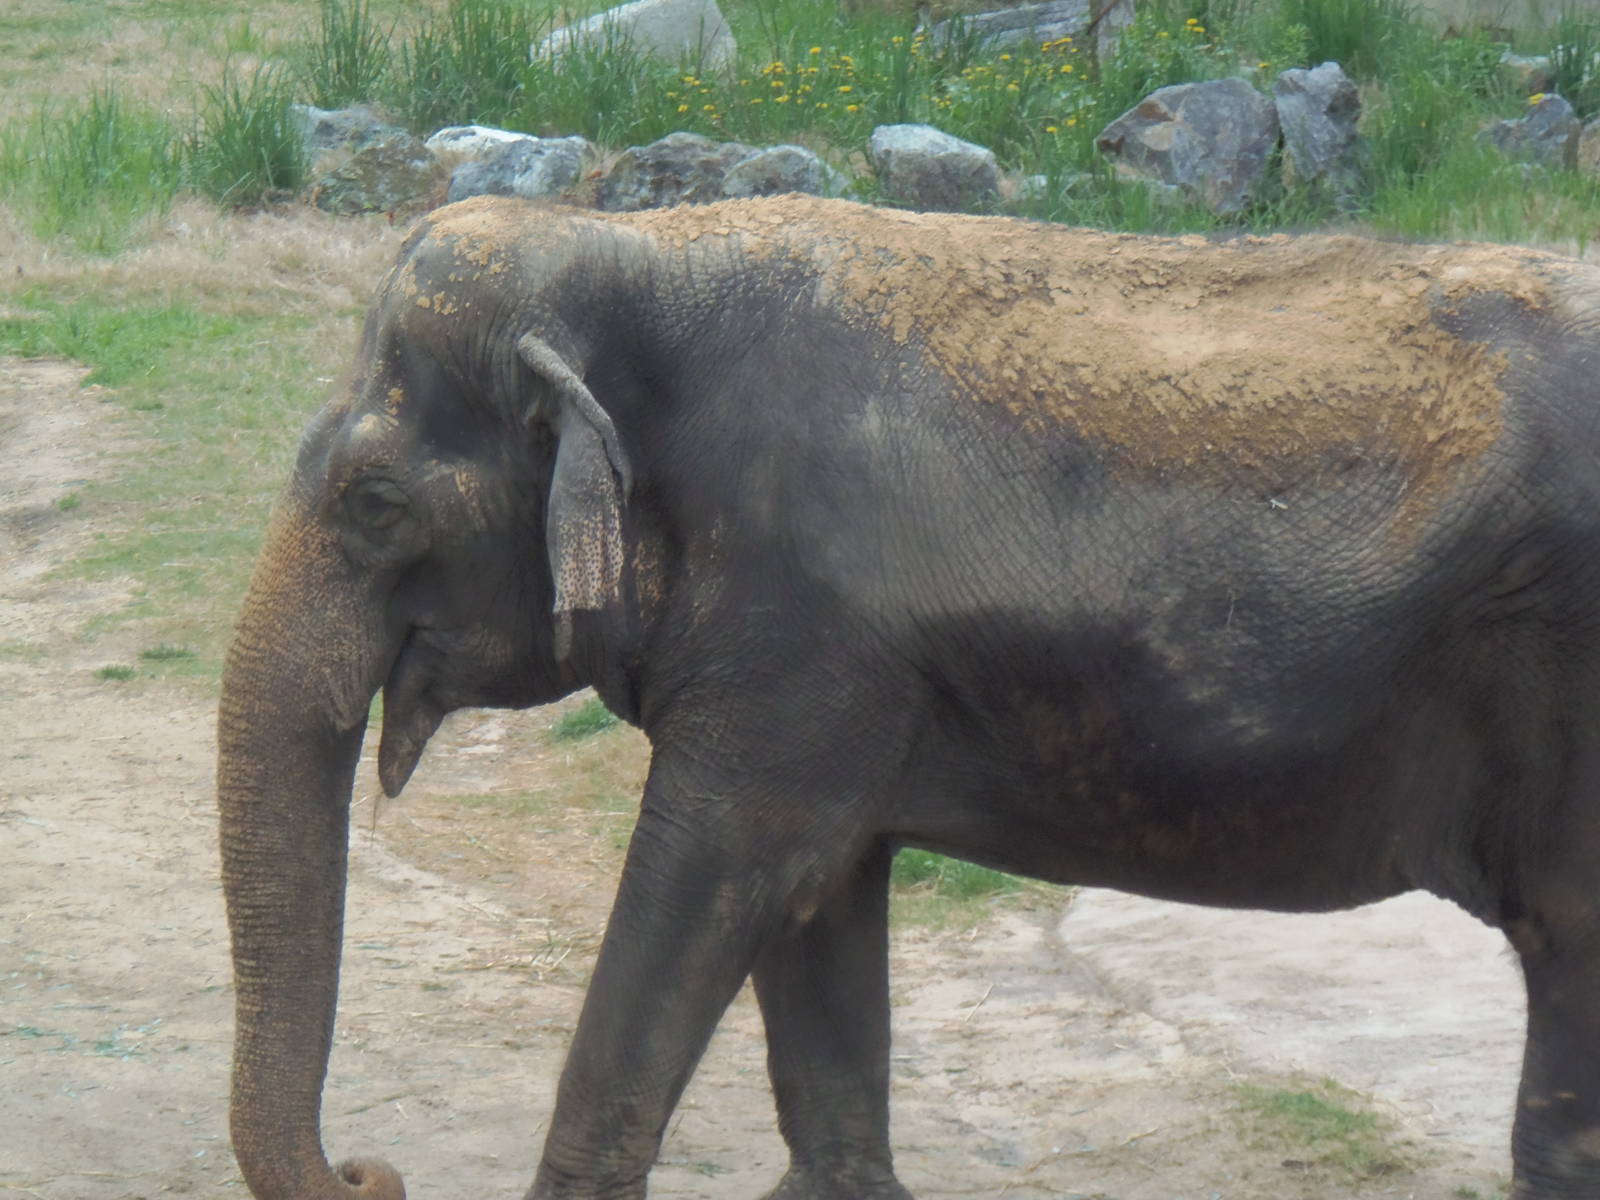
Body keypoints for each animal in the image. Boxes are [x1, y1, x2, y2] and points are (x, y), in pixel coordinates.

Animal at [219, 192, 1600, 1200]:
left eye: (374, 504)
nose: (372, 1171)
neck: (632, 252)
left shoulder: (793, 639)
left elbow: (709, 876)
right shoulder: (834, 678)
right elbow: (818, 903)